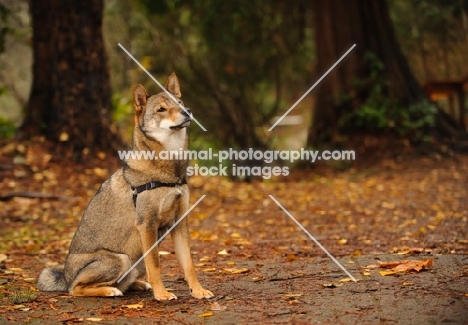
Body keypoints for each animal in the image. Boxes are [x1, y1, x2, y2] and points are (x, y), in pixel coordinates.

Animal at [38, 72, 214, 300]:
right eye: (161, 109)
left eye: (180, 103)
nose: (188, 112)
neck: (168, 170)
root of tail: (66, 277)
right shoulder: (147, 225)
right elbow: (155, 265)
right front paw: (162, 294)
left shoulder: (179, 223)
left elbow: (189, 264)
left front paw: (198, 291)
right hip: (121, 259)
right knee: (76, 289)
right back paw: (110, 290)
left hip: (133, 261)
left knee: (123, 281)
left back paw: (137, 285)